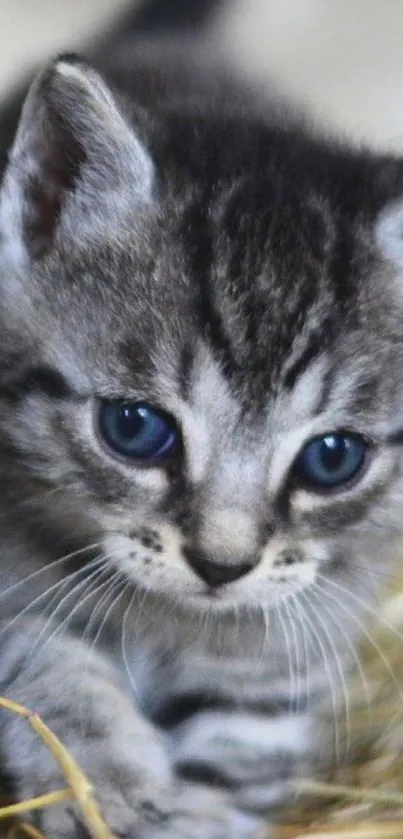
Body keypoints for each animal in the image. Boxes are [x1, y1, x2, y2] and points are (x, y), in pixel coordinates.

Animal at [0, 0, 403, 836]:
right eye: (133, 428)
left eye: (333, 458)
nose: (222, 565)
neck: (170, 621)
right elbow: (39, 645)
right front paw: (103, 771)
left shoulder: (282, 663)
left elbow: (234, 765)